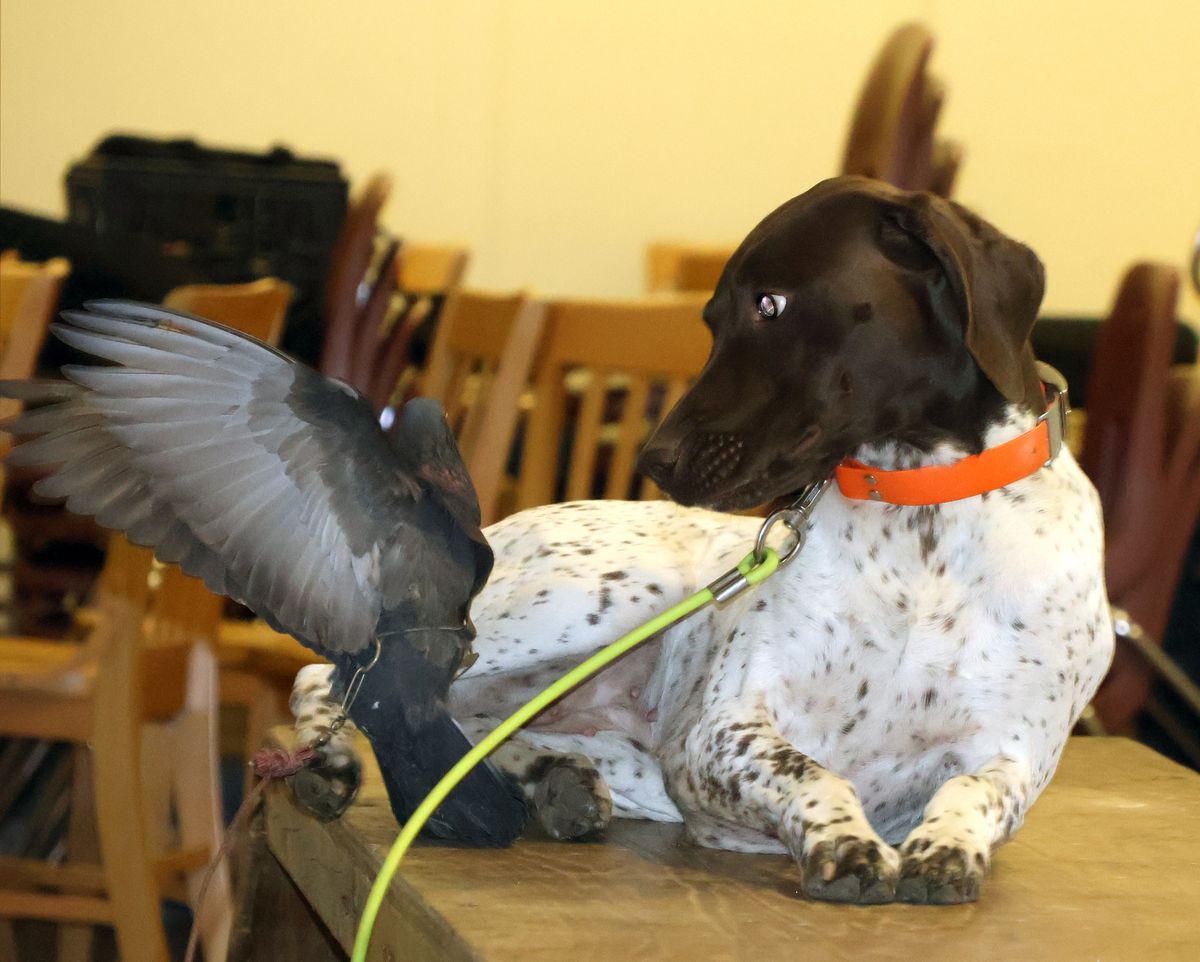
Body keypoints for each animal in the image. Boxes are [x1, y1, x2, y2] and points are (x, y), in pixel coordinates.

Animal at [292, 176, 1113, 902]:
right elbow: (813, 772)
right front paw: (844, 841)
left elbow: (972, 791)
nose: (654, 458)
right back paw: (327, 762)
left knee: (451, 717)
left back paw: (550, 779)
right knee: (334, 678)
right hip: (604, 598)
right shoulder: (720, 732)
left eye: (771, 304)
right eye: (713, 319)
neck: (922, 519)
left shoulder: (1012, 754)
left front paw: (945, 849)